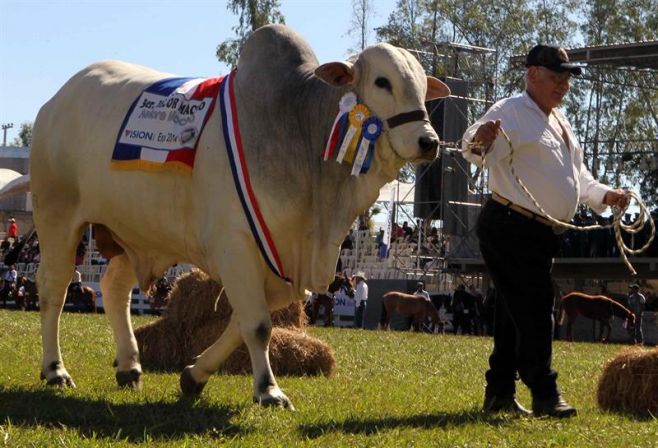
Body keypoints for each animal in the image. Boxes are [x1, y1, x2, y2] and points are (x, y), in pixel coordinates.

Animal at [15, 25, 448, 410]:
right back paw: (55, 370)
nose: (429, 141)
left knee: (114, 288)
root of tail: (56, 100)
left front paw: (193, 375)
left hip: (134, 230)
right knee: (53, 288)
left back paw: (130, 367)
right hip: (57, 215)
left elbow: (241, 324)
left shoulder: (278, 265)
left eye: (422, 87)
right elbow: (257, 325)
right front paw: (268, 391)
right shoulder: (237, 244)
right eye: (382, 81)